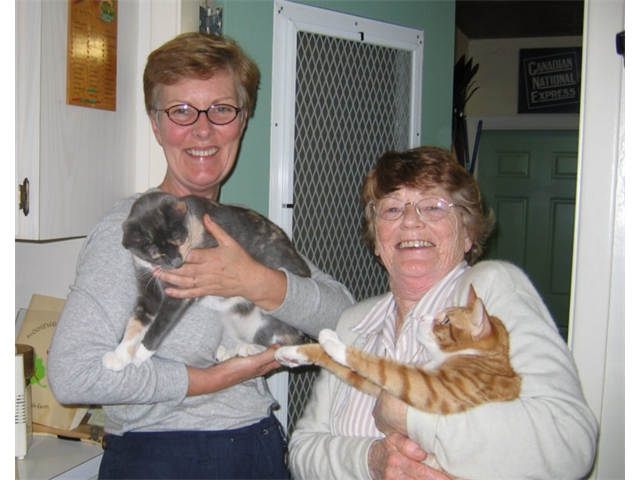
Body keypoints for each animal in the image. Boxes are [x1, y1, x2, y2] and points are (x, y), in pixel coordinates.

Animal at [102, 191, 310, 372]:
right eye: (157, 254)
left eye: (178, 239)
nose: (177, 263)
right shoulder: (147, 288)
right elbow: (136, 322)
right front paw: (120, 355)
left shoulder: (182, 292)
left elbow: (160, 325)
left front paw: (141, 354)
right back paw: (229, 352)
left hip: (263, 317)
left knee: (279, 343)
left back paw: (249, 349)